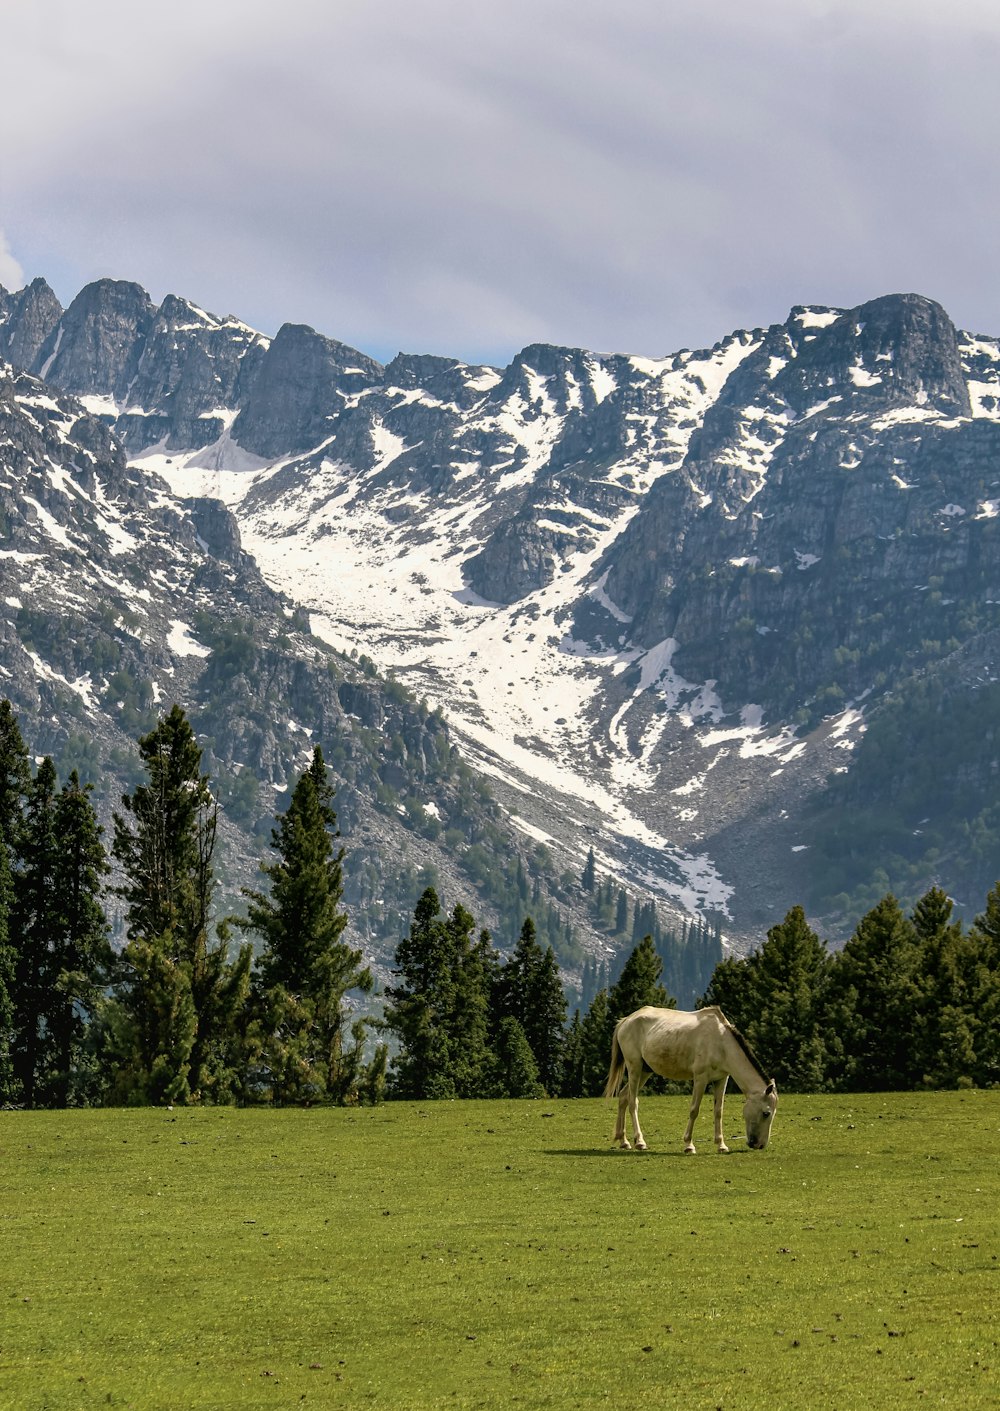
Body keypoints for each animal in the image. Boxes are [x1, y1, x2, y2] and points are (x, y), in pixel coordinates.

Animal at [603, 998, 778, 1151]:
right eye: (766, 1113)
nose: (759, 1144)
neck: (721, 1042)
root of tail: (626, 1020)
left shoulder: (721, 1079)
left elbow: (718, 1111)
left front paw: (721, 1145)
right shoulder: (700, 1078)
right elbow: (694, 1110)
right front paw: (689, 1145)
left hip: (645, 1071)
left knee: (623, 1097)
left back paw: (624, 1141)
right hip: (635, 1067)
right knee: (633, 1101)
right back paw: (640, 1142)